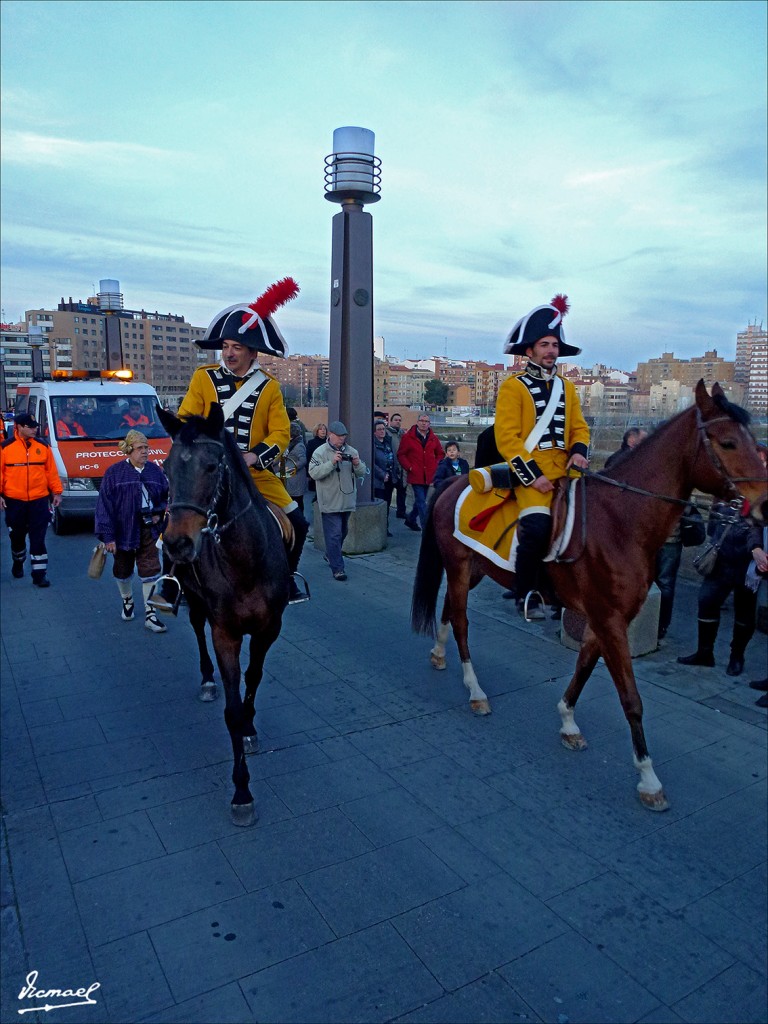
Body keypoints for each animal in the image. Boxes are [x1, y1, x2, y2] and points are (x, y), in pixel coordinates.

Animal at [157, 403, 290, 827]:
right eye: (166, 467)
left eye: (213, 466)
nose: (179, 543)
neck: (244, 560)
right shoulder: (225, 634)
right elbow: (230, 709)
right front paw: (242, 791)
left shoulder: (269, 628)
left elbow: (254, 677)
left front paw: (249, 726)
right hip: (195, 601)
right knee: (197, 630)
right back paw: (206, 679)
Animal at [415, 380, 768, 811]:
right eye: (728, 442)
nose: (765, 503)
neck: (621, 519)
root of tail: (455, 482)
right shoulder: (610, 621)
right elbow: (631, 699)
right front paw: (648, 778)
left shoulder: (606, 620)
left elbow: (583, 669)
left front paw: (568, 722)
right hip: (460, 567)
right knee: (462, 621)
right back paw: (475, 690)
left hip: (476, 570)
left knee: (450, 609)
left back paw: (439, 654)